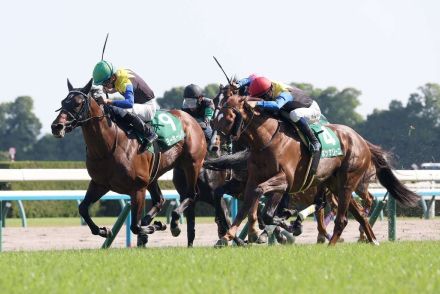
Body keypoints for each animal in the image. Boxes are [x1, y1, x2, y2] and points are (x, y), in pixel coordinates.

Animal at [51, 78, 206, 246]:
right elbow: (83, 208)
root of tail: (191, 119)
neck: (109, 147)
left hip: (191, 164)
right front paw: (104, 230)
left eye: (78, 103)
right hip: (153, 175)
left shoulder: (138, 188)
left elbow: (135, 227)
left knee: (192, 194)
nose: (56, 126)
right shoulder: (100, 183)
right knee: (160, 200)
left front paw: (152, 228)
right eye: (63, 102)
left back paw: (174, 223)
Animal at [215, 94, 422, 246]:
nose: (218, 145)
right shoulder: (254, 179)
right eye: (216, 117)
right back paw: (372, 240)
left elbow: (266, 209)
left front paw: (287, 224)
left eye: (229, 117)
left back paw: (332, 245)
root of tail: (361, 139)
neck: (267, 141)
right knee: (359, 215)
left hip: (348, 182)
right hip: (336, 184)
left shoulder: (284, 180)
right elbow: (246, 206)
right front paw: (228, 236)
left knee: (343, 218)